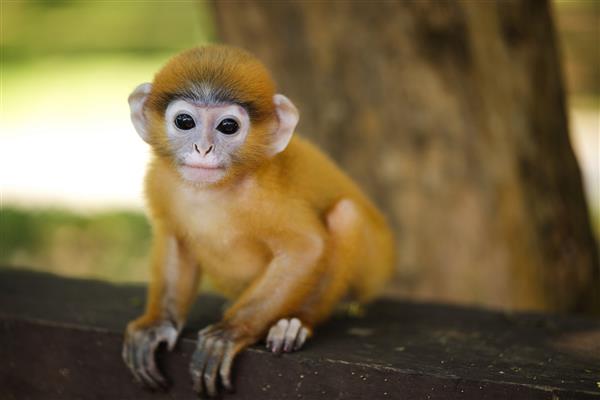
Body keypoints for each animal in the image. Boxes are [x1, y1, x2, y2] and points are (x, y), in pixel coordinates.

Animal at [122, 44, 396, 396]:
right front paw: (157, 324)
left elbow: (306, 247)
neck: (212, 191)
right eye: (184, 121)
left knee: (346, 215)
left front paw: (230, 332)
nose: (202, 148)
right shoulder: (161, 180)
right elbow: (175, 239)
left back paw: (295, 323)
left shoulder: (266, 195)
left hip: (371, 271)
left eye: (228, 127)